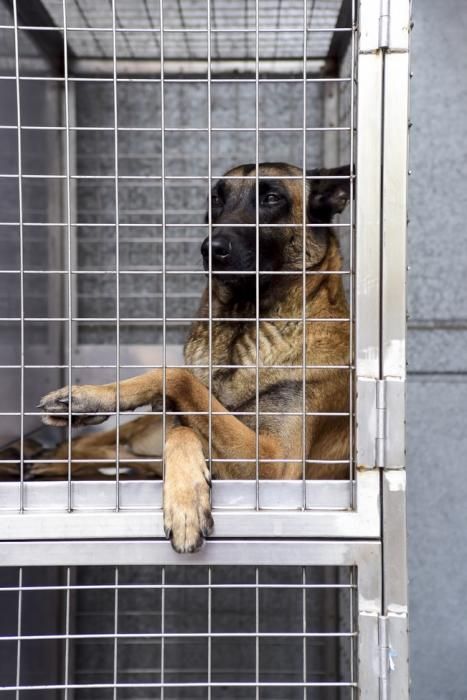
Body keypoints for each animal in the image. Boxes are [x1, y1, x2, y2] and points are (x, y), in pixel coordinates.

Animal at [37, 163, 352, 552]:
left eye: (271, 197)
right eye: (216, 199)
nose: (210, 248)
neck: (241, 327)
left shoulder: (275, 463)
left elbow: (176, 376)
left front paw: (186, 505)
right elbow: (183, 422)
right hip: (141, 432)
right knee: (92, 446)